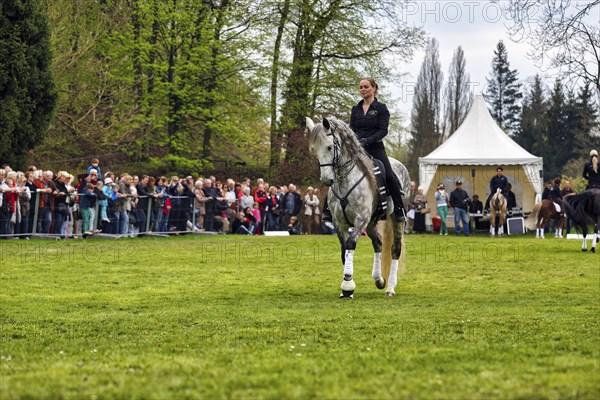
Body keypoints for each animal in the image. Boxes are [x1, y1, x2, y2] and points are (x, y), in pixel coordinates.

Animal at [308, 115, 410, 296]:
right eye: (314, 150)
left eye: (329, 147)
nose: (327, 180)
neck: (345, 180)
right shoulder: (339, 223)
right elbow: (344, 250)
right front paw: (346, 286)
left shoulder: (360, 219)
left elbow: (350, 244)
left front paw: (347, 285)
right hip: (371, 223)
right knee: (378, 243)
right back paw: (379, 279)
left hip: (396, 220)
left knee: (395, 249)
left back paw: (390, 287)